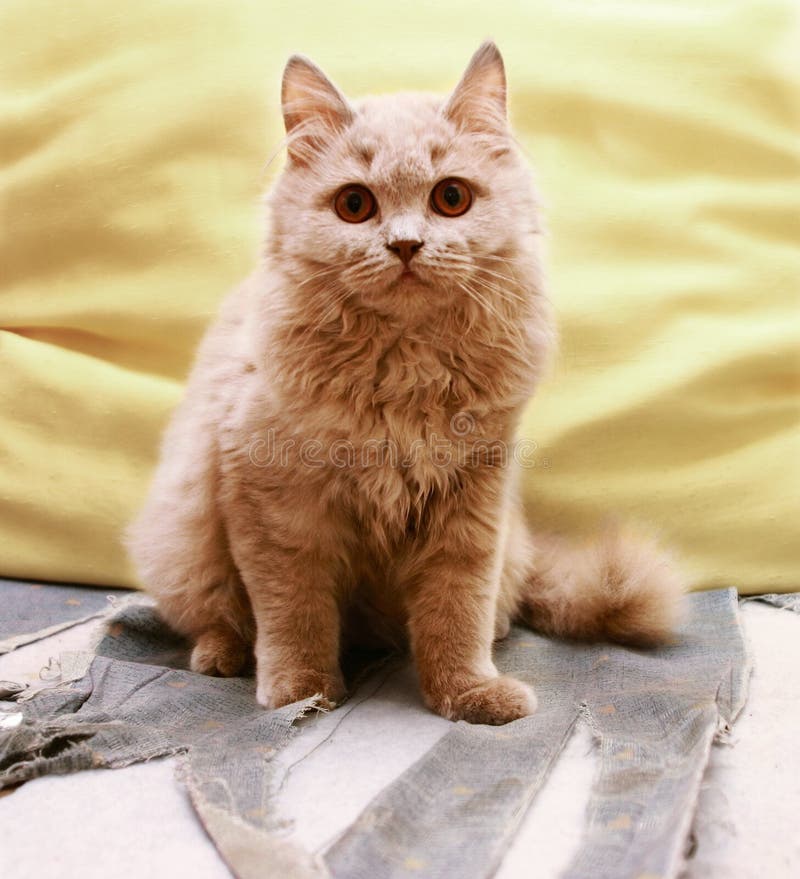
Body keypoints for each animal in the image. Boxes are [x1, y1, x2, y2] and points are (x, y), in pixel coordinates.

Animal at [128, 41, 684, 724]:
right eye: (355, 205)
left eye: (451, 198)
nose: (406, 245)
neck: (404, 364)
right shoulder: (272, 500)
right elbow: (294, 612)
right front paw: (301, 693)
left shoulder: (472, 500)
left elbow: (455, 612)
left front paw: (468, 694)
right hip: (179, 539)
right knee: (217, 617)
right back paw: (222, 656)